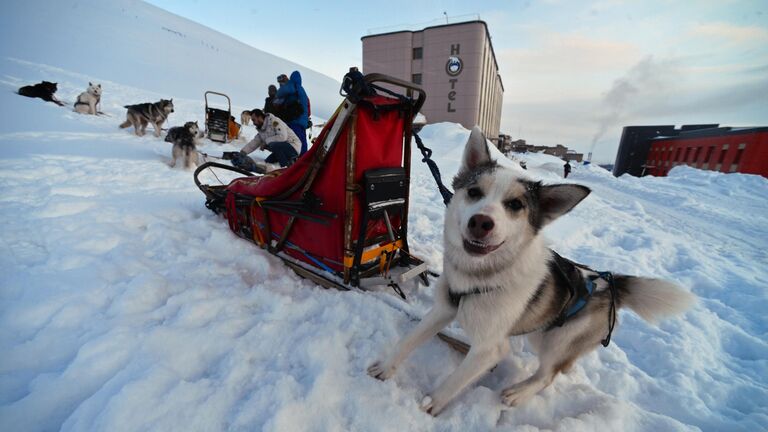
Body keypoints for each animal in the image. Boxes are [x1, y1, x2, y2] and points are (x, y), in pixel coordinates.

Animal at [368, 127, 696, 416]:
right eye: (474, 192)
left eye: (515, 204)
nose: (481, 222)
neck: (484, 275)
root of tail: (610, 283)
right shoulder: (443, 309)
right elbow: (409, 340)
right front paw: (386, 367)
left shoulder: (490, 349)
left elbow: (456, 379)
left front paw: (430, 405)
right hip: (542, 331)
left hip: (557, 341)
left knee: (548, 374)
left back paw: (518, 392)